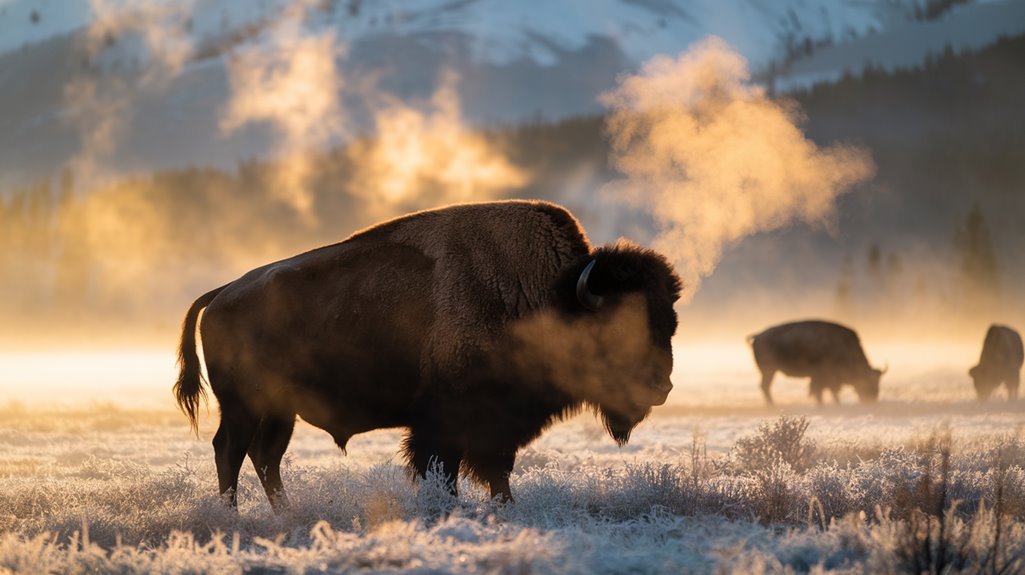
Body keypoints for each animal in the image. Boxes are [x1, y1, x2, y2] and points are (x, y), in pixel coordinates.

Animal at [174, 199, 680, 504]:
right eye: (618, 329)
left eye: (670, 323)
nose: (662, 387)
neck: (548, 298)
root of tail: (222, 294)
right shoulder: (445, 424)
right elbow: (446, 471)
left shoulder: (494, 427)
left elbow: (497, 472)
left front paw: (503, 507)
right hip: (242, 405)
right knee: (230, 451)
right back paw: (231, 516)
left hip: (281, 410)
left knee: (265, 457)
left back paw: (283, 514)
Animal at [750, 317, 885, 403]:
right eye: (868, 380)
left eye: (878, 381)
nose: (872, 398)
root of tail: (758, 336)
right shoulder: (823, 376)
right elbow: (824, 390)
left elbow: (823, 390)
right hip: (769, 371)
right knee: (765, 387)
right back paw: (772, 404)